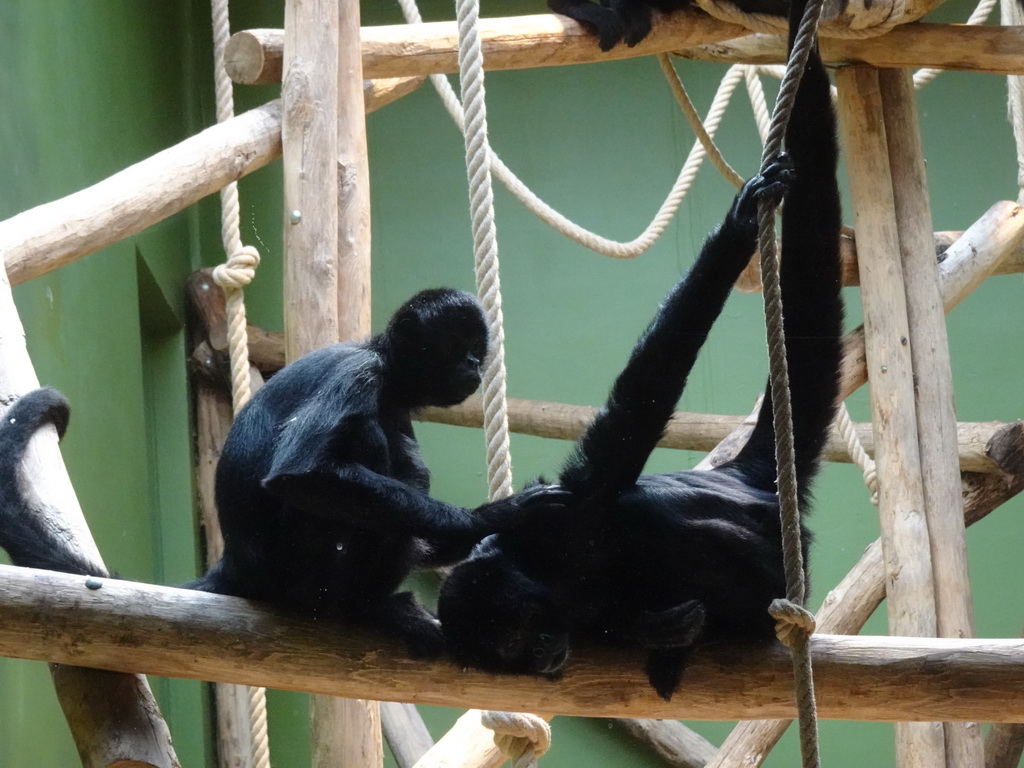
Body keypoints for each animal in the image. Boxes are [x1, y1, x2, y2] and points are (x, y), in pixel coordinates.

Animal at [0, 290, 561, 659]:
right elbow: (302, 475)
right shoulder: (360, 374)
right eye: (454, 345)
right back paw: (365, 607)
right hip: (297, 566)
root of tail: (237, 563)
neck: (380, 360)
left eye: (474, 348)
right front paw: (494, 517)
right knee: (368, 443)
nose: (473, 365)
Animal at [436, 41, 843, 700]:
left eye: (518, 630)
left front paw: (738, 226)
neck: (561, 585)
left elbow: (636, 414)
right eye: (510, 653)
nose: (542, 653)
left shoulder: (567, 515)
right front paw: (657, 629)